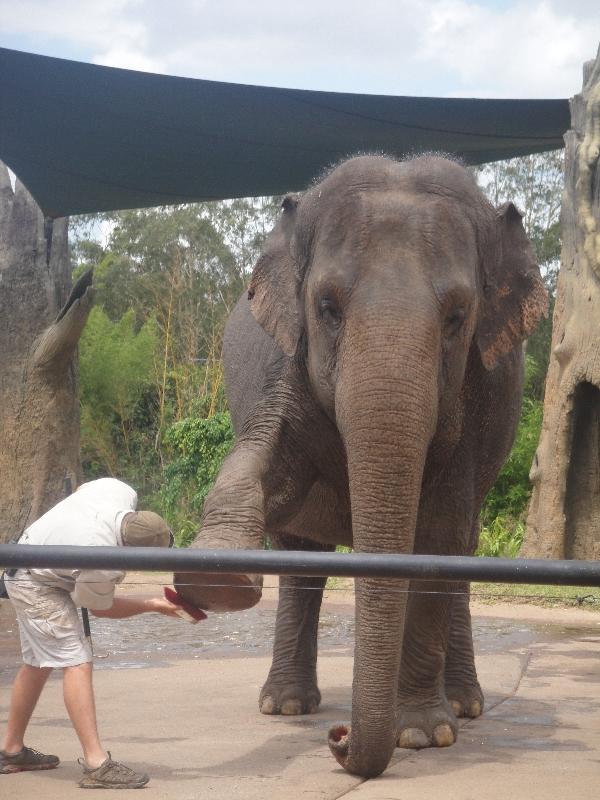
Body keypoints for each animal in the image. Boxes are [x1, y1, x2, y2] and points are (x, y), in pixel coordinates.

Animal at [171, 153, 548, 780]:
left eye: (457, 316)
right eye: (327, 308)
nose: (339, 740)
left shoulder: (480, 397)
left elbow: (441, 533)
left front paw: (420, 735)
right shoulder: (287, 363)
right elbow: (270, 466)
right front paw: (215, 578)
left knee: (463, 550)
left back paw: (464, 706)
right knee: (301, 558)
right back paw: (285, 705)